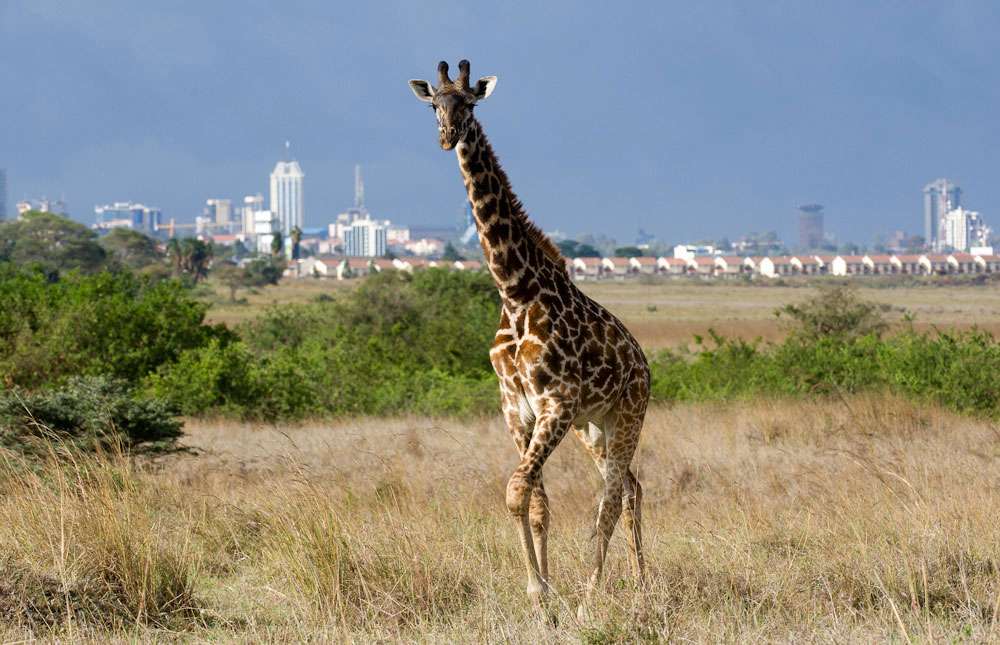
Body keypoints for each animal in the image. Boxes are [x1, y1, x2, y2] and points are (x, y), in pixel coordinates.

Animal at [406, 61, 648, 612]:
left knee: (612, 495)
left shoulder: (556, 402)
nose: (447, 136)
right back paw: (644, 584)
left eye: (469, 103)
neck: (515, 290)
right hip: (593, 426)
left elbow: (516, 491)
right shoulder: (516, 407)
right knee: (631, 486)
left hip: (627, 414)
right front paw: (544, 595)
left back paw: (592, 596)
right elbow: (535, 500)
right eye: (433, 106)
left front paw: (545, 594)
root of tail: (644, 363)